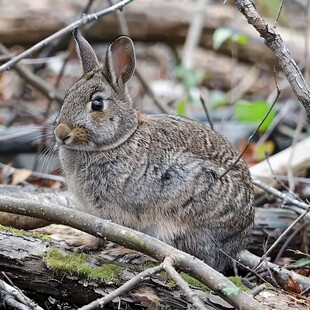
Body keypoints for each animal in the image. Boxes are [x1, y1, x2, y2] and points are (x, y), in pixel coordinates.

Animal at [54, 28, 254, 272]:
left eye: (97, 104)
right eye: (67, 97)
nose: (61, 133)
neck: (120, 139)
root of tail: (233, 246)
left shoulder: (117, 213)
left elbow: (112, 231)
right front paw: (80, 243)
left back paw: (132, 254)